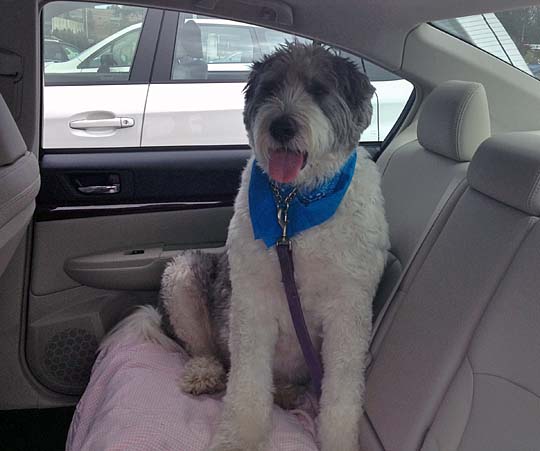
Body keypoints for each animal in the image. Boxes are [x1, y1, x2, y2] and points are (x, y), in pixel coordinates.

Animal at [108, 43, 388, 451]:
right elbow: (246, 384)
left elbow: (342, 392)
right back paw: (205, 373)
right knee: (207, 351)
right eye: (270, 88)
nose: (281, 126)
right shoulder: (251, 302)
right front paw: (239, 438)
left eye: (319, 89)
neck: (293, 205)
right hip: (182, 275)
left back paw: (286, 392)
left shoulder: (348, 311)